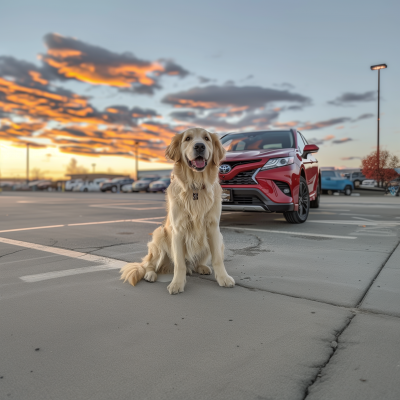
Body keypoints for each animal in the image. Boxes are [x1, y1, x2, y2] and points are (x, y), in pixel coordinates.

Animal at [120, 127, 236, 294]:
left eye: (206, 138)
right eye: (187, 138)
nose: (199, 146)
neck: (195, 187)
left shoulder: (213, 228)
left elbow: (218, 259)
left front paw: (223, 278)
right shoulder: (178, 229)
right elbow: (179, 263)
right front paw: (177, 284)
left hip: (218, 240)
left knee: (196, 263)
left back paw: (201, 267)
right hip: (159, 235)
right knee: (149, 264)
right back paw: (150, 274)